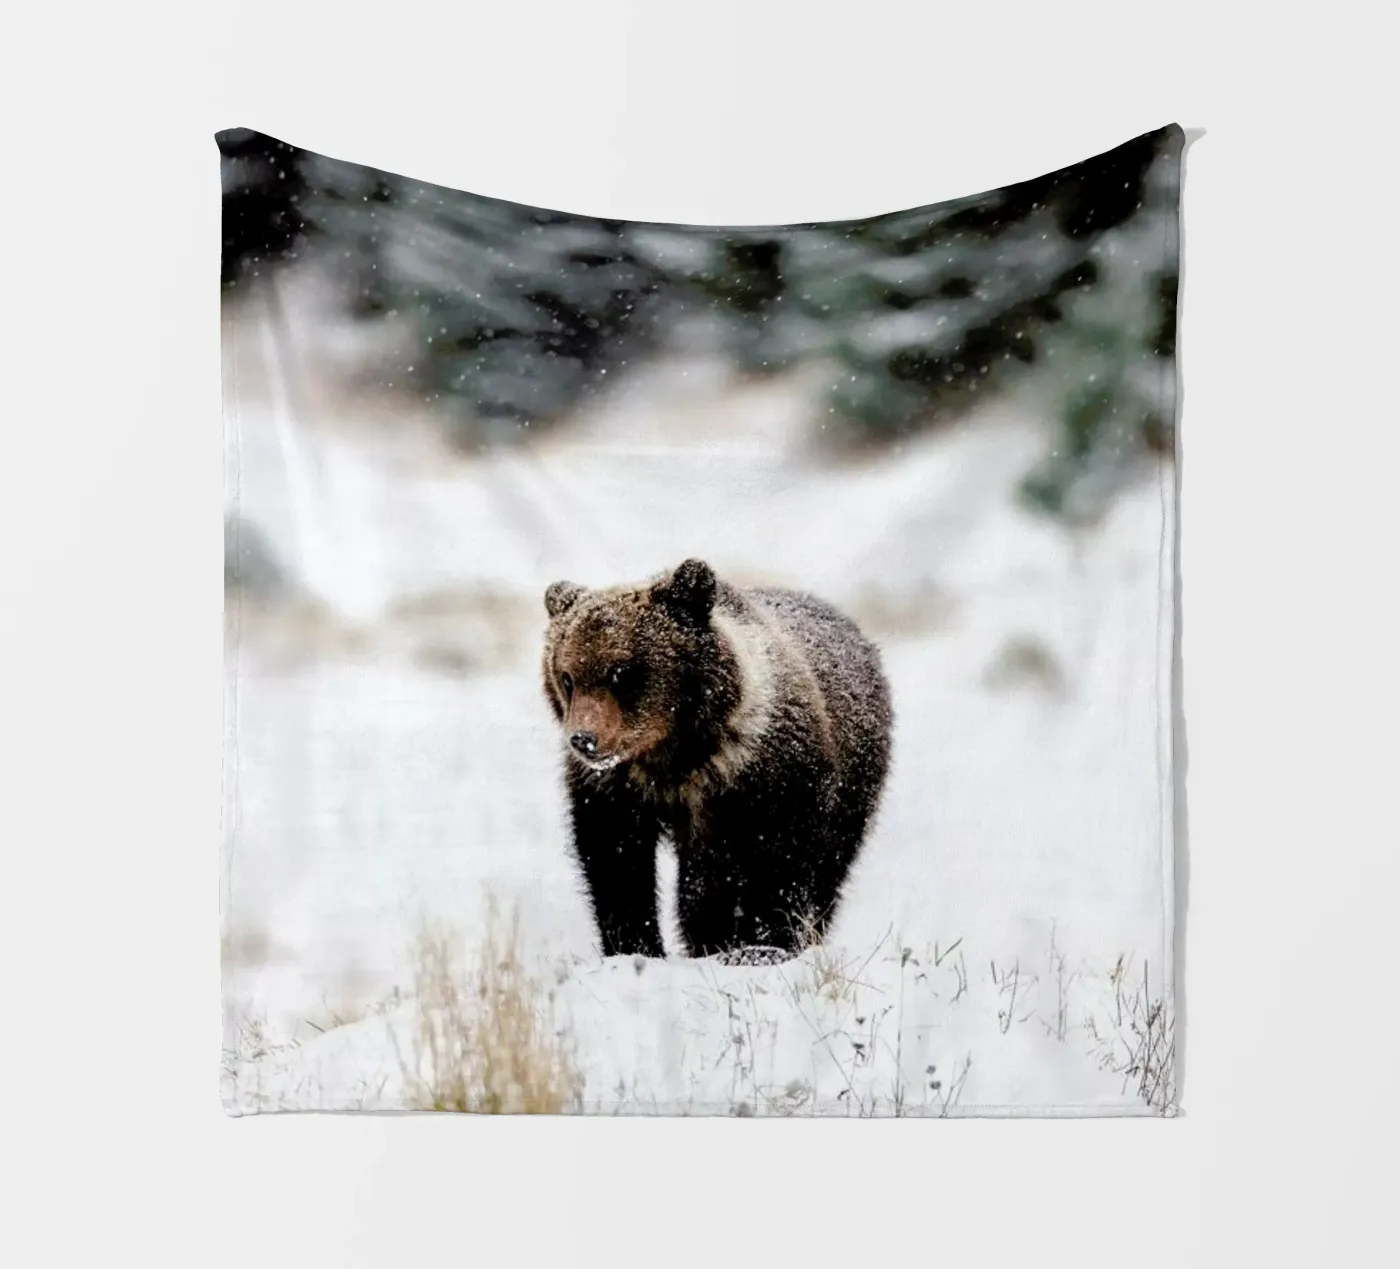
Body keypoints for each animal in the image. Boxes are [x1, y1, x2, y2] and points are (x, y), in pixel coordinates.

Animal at [541, 557, 893, 961]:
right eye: (567, 677)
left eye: (621, 672)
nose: (584, 739)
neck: (674, 756)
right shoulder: (617, 790)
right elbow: (616, 864)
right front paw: (637, 946)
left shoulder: (766, 780)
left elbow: (775, 866)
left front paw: (760, 944)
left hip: (855, 785)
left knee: (828, 871)